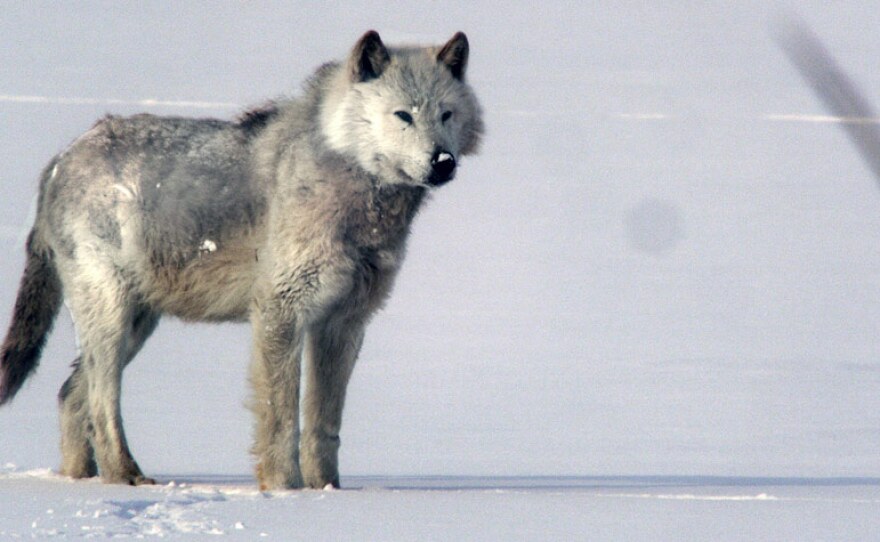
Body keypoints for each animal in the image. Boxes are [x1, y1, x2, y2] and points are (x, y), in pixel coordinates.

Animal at [0, 30, 484, 492]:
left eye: (446, 115)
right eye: (403, 115)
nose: (443, 162)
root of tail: (62, 158)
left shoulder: (343, 324)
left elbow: (324, 426)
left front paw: (328, 491)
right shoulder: (281, 311)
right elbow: (281, 419)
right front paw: (285, 489)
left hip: (137, 325)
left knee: (68, 395)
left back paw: (80, 480)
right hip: (114, 321)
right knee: (102, 406)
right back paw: (125, 476)